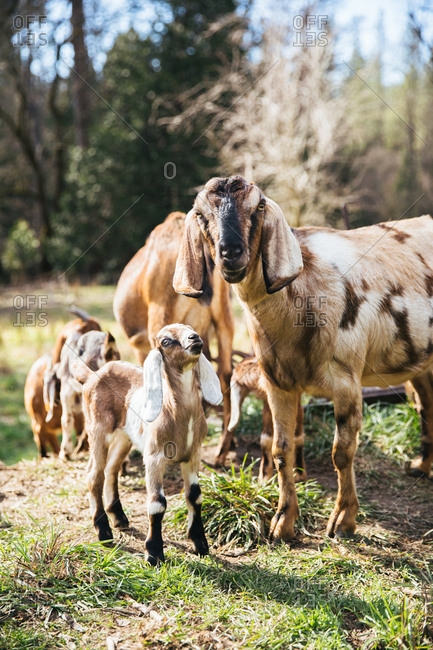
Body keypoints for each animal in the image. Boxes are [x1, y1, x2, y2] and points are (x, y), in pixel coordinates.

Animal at [71, 324, 222, 565]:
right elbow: (157, 503)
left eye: (191, 328)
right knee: (95, 474)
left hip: (124, 437)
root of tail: (93, 375)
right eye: (166, 341)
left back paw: (119, 517)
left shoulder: (193, 454)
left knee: (112, 469)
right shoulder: (154, 456)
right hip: (98, 430)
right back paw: (103, 531)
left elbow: (195, 495)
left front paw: (200, 544)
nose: (195, 338)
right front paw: (154, 554)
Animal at [174, 174, 433, 542]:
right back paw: (422, 466)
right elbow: (281, 449)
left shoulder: (347, 382)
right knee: (426, 404)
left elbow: (342, 453)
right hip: (421, 362)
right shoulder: (278, 383)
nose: (231, 253)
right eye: (200, 214)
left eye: (259, 206)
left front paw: (343, 520)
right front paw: (283, 523)